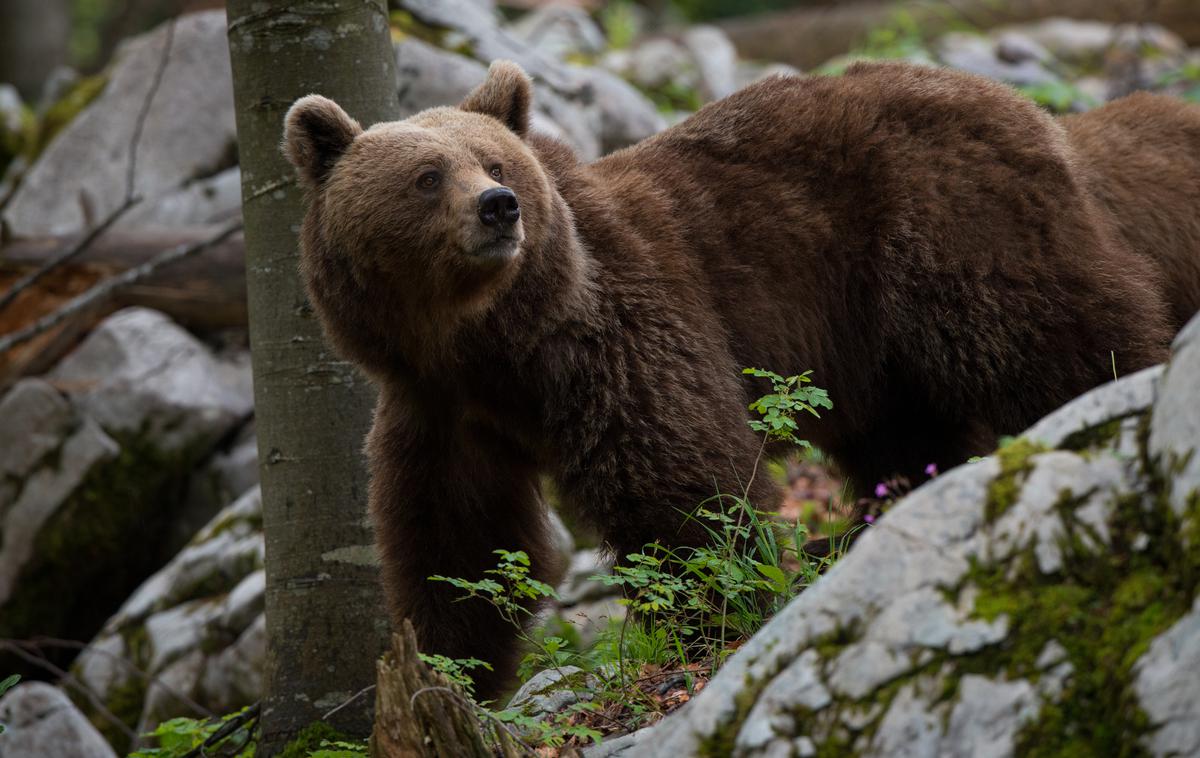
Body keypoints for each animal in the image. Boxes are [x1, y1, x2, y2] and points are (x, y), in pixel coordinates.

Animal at [285, 60, 1195, 700]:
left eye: (493, 159)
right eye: (427, 174)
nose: (499, 207)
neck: (492, 342)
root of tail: (1040, 115)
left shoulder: (616, 333)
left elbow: (681, 481)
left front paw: (715, 612)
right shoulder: (440, 411)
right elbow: (458, 546)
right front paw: (450, 670)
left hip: (957, 235)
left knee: (1063, 341)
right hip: (880, 353)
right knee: (910, 439)